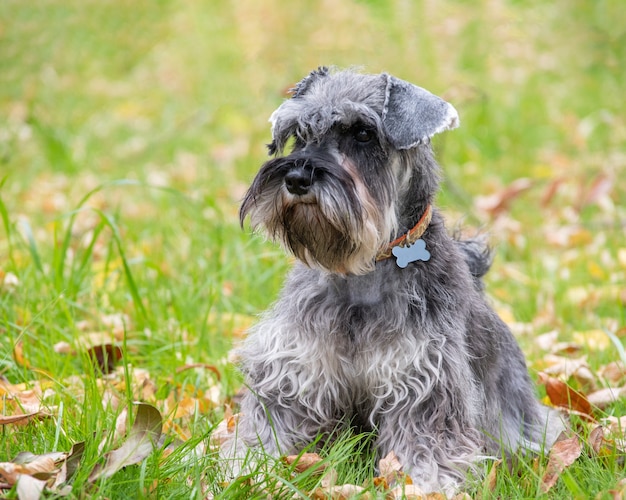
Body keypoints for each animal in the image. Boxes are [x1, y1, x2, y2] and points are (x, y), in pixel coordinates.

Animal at [227, 66, 564, 492]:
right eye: (300, 134)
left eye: (363, 133)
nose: (297, 178)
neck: (361, 274)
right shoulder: (293, 371)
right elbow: (266, 430)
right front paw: (243, 473)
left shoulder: (424, 384)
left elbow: (426, 447)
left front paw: (424, 487)